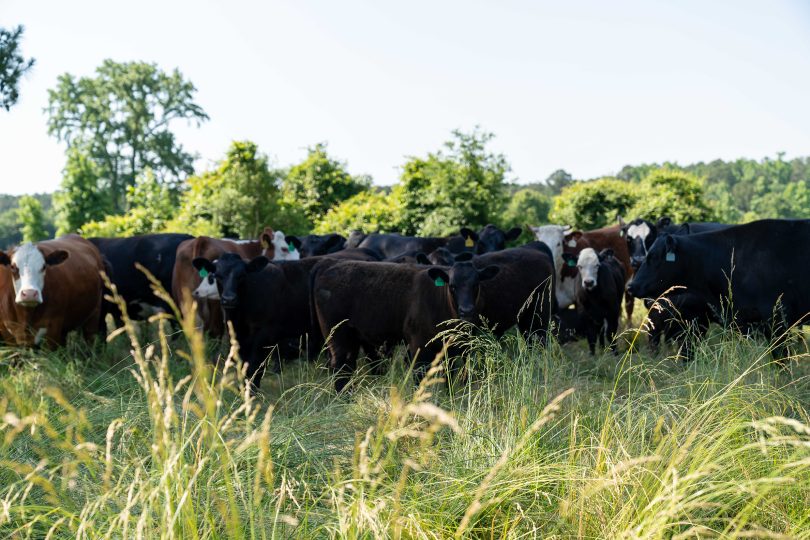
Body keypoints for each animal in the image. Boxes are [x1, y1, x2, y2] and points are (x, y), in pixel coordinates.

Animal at [310, 260, 496, 390]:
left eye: (476, 284)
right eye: (452, 286)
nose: (467, 310)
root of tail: (329, 265)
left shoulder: (454, 347)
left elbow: (449, 375)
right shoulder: (418, 345)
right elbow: (419, 376)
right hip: (338, 335)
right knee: (341, 366)